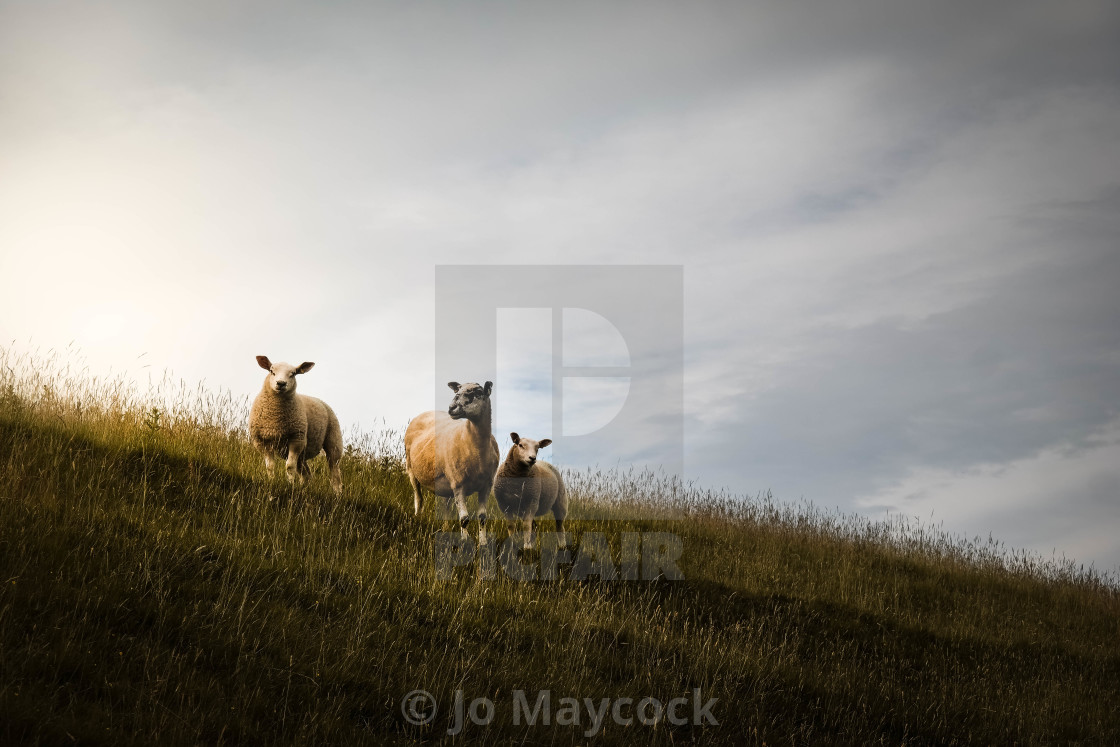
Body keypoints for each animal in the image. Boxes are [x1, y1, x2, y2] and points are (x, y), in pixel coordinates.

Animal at [248, 356, 340, 497]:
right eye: (272, 371)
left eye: (293, 374)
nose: (281, 383)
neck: (275, 418)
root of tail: (322, 401)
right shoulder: (262, 442)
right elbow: (270, 466)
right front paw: (271, 482)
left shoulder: (296, 439)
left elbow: (289, 466)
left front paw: (290, 485)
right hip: (303, 453)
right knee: (306, 474)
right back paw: (303, 490)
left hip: (333, 441)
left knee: (335, 473)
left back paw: (338, 495)